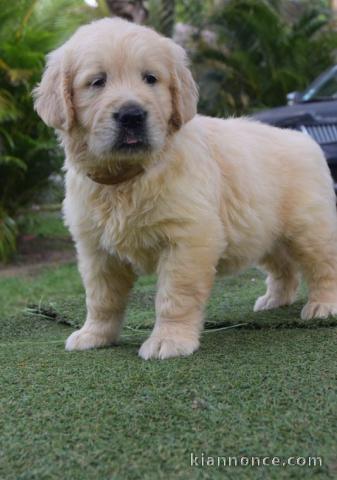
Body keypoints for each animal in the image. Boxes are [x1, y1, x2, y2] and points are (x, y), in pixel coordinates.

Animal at [33, 16, 336, 358]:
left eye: (150, 78)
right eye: (97, 82)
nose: (131, 115)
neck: (129, 176)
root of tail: (303, 140)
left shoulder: (188, 238)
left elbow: (175, 295)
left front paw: (169, 340)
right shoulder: (95, 249)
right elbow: (100, 298)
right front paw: (94, 335)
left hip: (309, 229)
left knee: (324, 264)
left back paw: (324, 306)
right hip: (263, 231)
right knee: (284, 267)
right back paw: (275, 299)